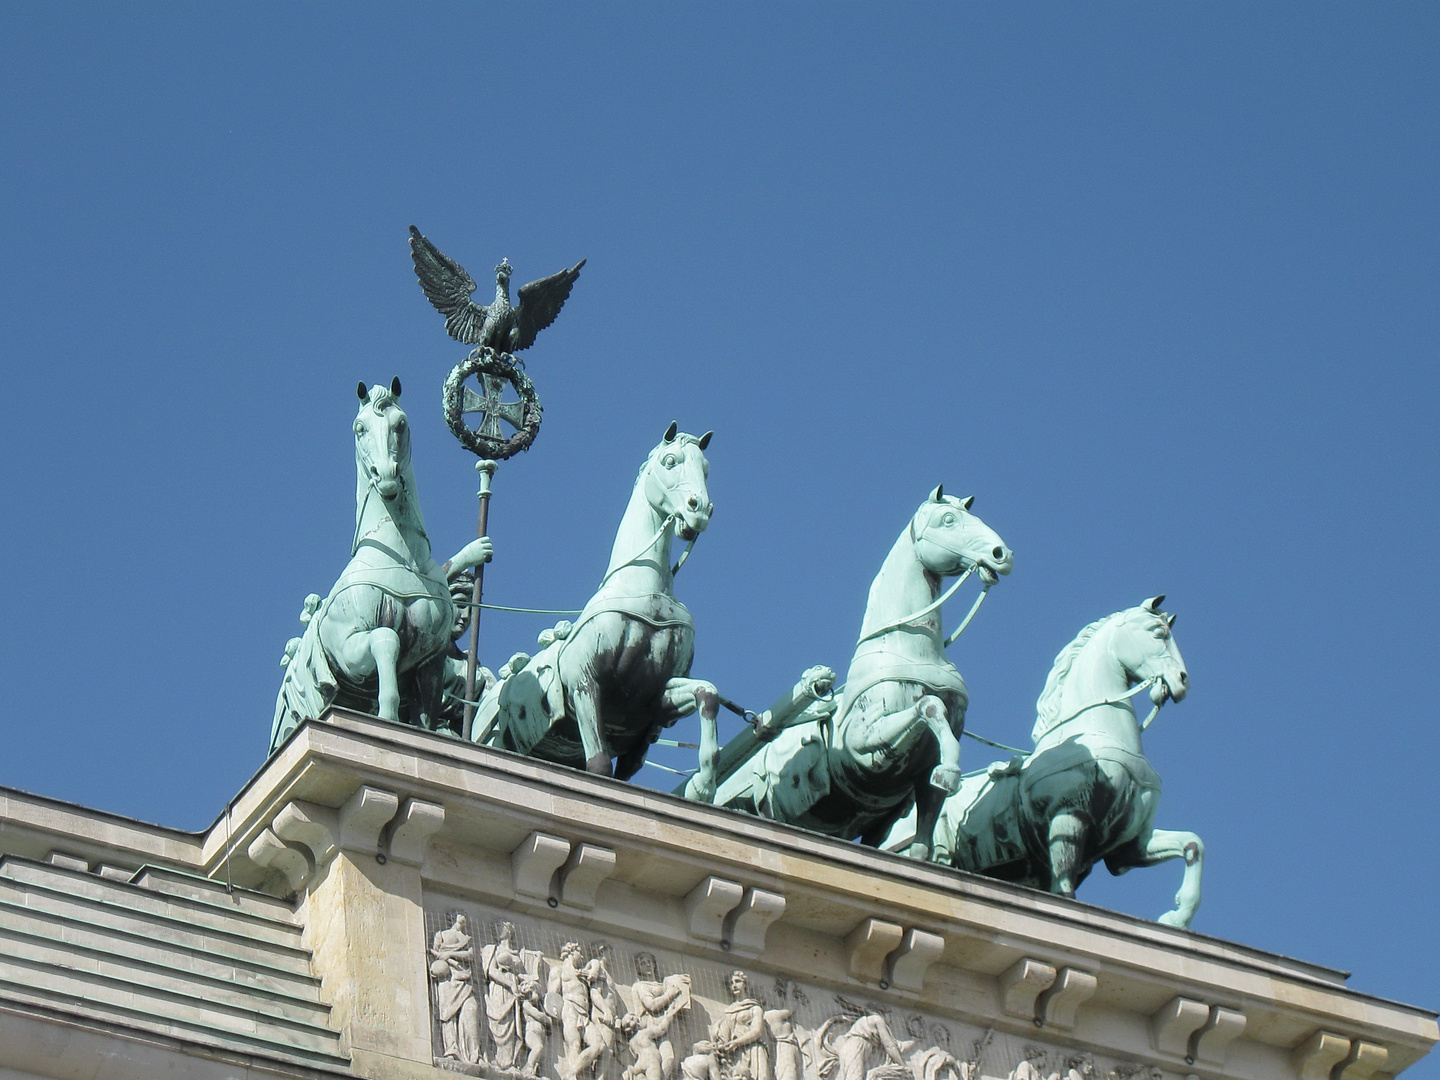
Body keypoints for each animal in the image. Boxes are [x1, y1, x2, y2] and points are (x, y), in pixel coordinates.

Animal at [270, 380, 495, 754]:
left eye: (400, 424)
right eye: (359, 428)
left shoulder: (431, 660)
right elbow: (385, 638)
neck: (401, 558)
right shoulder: (347, 650)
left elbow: (426, 718)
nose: (386, 476)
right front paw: (387, 713)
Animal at [472, 423, 720, 789]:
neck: (645, 588)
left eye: (706, 468)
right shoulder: (584, 682)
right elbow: (600, 767)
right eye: (670, 461)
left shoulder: (655, 701)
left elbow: (708, 693)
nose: (699, 510)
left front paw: (703, 780)